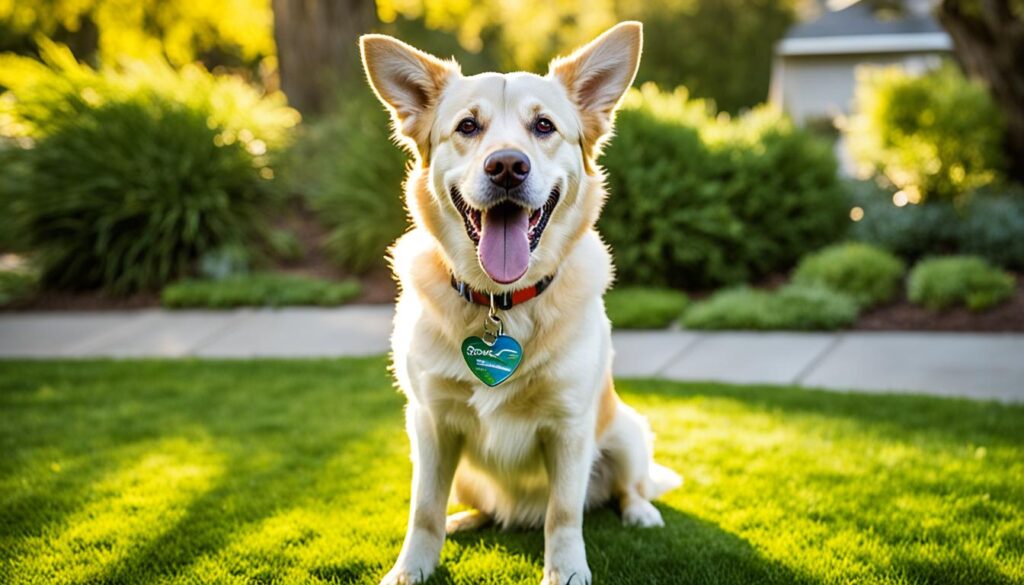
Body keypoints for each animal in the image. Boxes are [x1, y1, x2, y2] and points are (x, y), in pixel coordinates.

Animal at [360, 21, 679, 585]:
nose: (507, 165)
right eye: (468, 126)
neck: (501, 300)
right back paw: (467, 519)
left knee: (626, 486)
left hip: (624, 429)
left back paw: (640, 512)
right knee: (470, 503)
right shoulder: (429, 422)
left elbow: (564, 513)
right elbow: (424, 510)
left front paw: (567, 571)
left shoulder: (570, 425)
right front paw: (411, 568)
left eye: (544, 125)